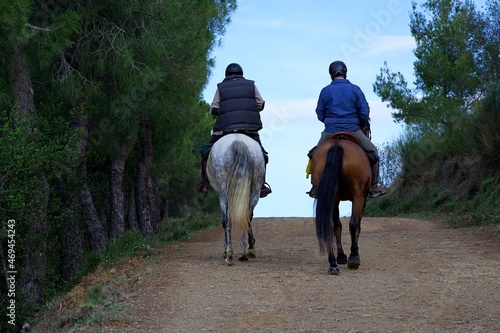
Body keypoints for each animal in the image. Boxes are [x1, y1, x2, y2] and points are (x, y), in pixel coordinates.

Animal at [310, 134, 374, 274]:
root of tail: (337, 145)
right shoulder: (361, 199)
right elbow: (357, 226)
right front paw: (353, 254)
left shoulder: (336, 199)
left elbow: (337, 226)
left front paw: (341, 256)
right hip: (358, 195)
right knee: (353, 224)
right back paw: (354, 258)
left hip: (331, 196)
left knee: (330, 226)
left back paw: (333, 263)